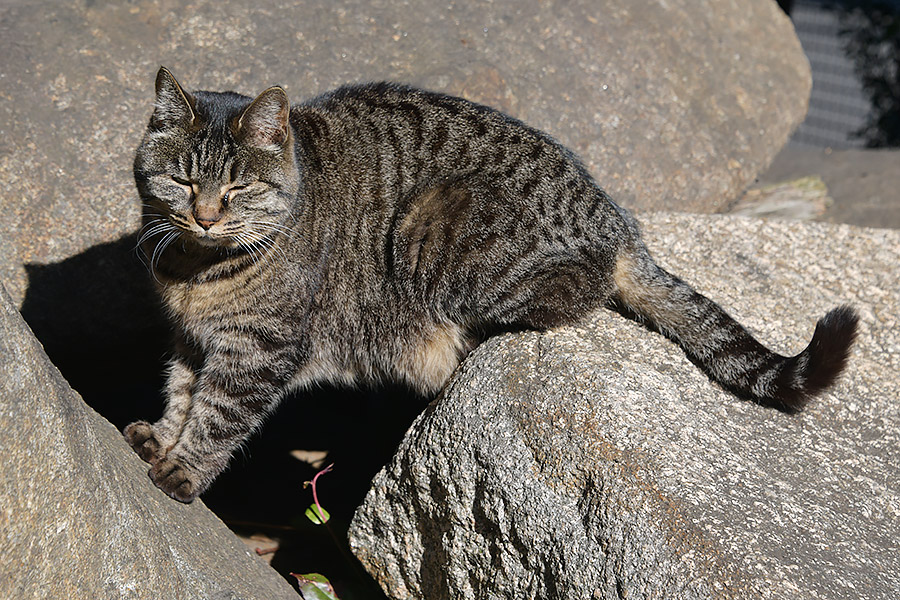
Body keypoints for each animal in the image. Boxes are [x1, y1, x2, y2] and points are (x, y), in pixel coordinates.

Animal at [123, 68, 856, 504]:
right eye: (184, 180)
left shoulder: (261, 349)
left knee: (575, 292)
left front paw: (184, 469)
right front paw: (162, 437)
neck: (195, 271)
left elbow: (218, 415)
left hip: (436, 225)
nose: (206, 214)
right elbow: (182, 394)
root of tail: (618, 218)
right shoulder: (191, 341)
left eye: (238, 187)